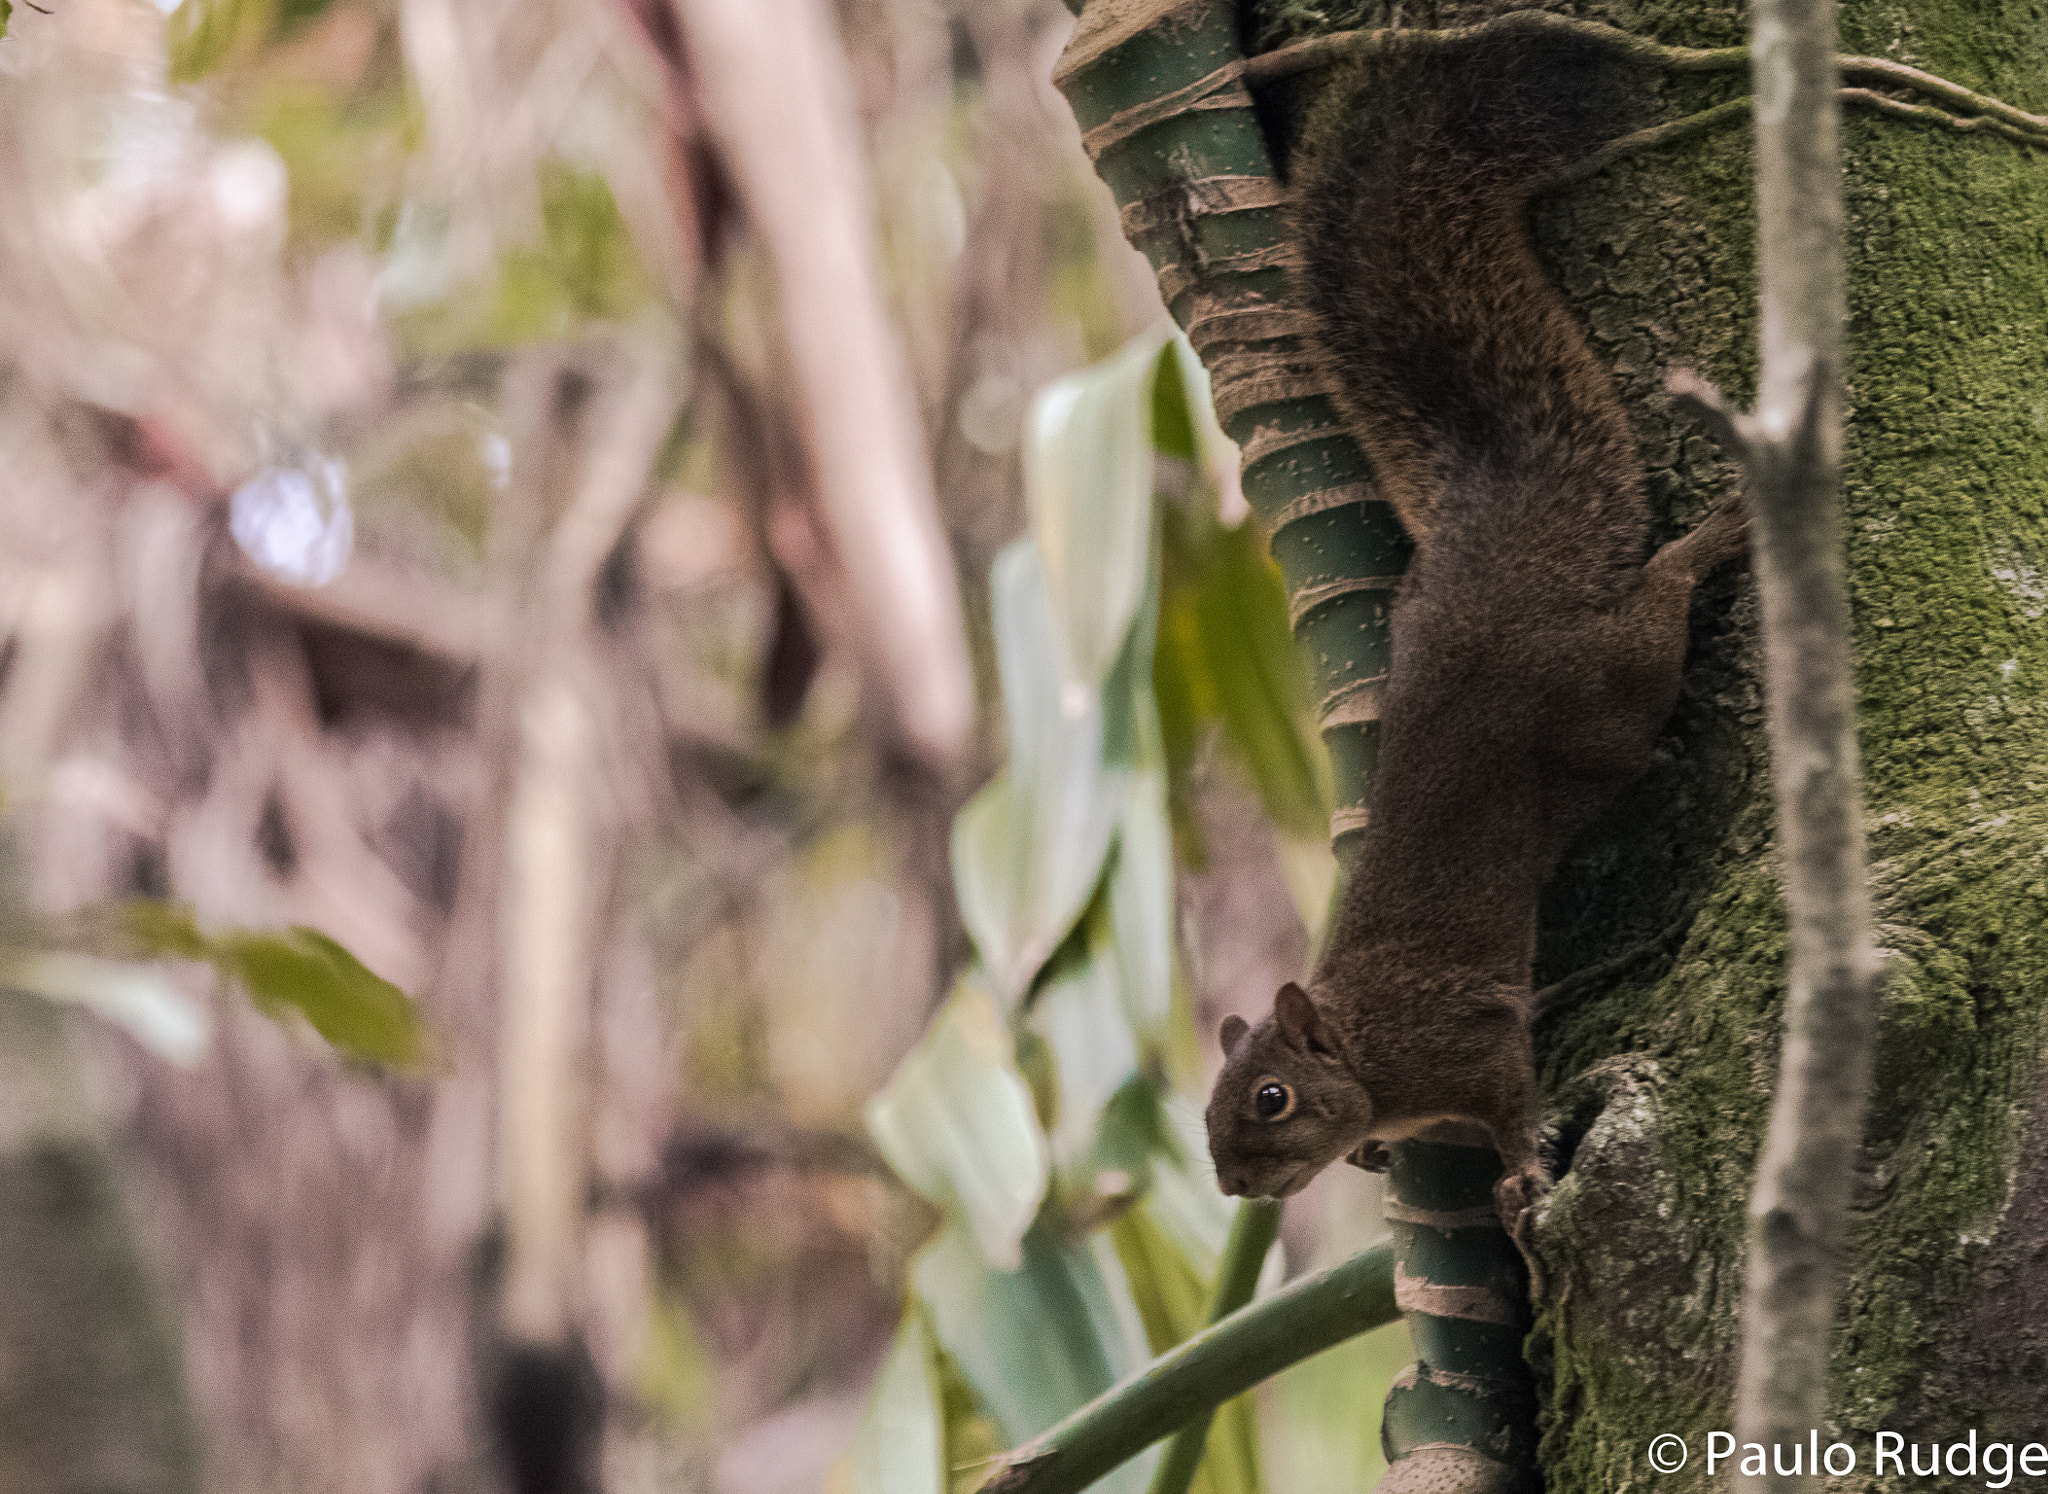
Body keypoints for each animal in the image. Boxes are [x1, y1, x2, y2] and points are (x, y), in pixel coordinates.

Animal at [1204, 23, 1753, 1229]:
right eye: (1207, 1110)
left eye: (1269, 1098)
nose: (1230, 1185)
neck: (1363, 1045)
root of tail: (1495, 574)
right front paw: (1377, 1158)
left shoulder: (1465, 1040)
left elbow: (1508, 1097)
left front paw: (1516, 1172)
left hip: (1609, 679)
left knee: (1656, 607)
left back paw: (1715, 541)